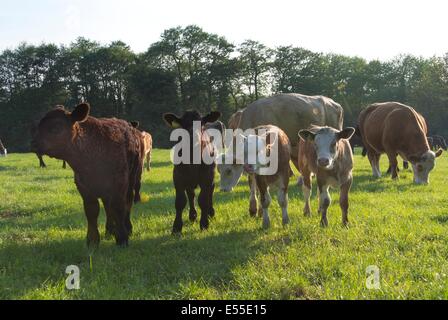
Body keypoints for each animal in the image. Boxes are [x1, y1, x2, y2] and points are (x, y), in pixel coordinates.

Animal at [31, 103, 144, 248]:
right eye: (39, 126)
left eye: (55, 127)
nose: (33, 143)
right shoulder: (83, 185)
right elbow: (92, 211)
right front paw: (92, 240)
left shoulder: (119, 183)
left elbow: (119, 207)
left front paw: (122, 238)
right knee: (107, 206)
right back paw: (109, 230)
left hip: (132, 177)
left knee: (127, 202)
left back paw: (127, 228)